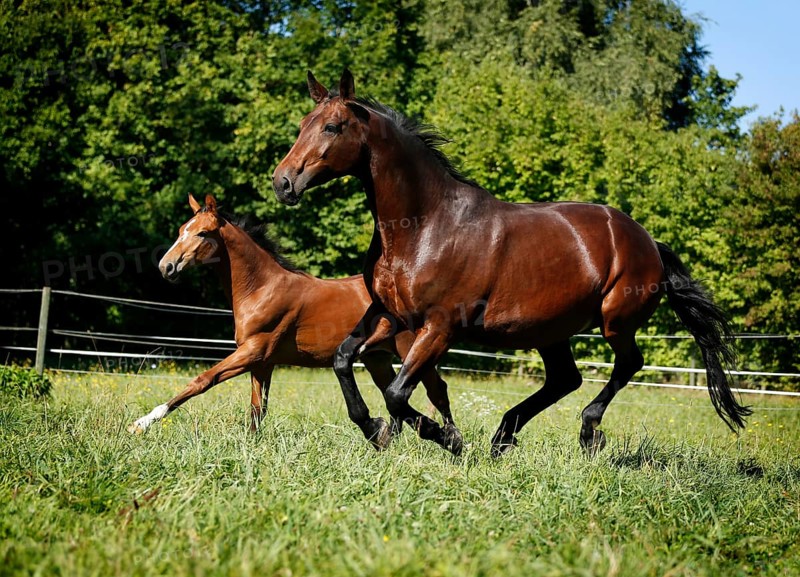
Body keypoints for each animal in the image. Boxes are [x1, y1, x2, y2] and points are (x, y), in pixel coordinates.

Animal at [129, 193, 462, 455]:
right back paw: (390, 436)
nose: (166, 266)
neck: (262, 288)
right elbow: (257, 409)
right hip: (377, 359)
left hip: (412, 351)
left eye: (201, 233)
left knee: (436, 391)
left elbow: (201, 381)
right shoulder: (262, 363)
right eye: (181, 230)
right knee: (397, 397)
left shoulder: (253, 351)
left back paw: (452, 442)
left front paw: (141, 423)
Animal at [271, 69, 751, 456]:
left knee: (627, 364)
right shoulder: (391, 315)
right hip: (551, 330)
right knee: (565, 379)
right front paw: (376, 430)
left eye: (332, 126)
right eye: (302, 125)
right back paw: (504, 436)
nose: (283, 182)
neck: (424, 225)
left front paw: (449, 439)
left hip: (615, 321)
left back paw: (588, 432)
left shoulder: (439, 327)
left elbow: (396, 393)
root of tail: (647, 240)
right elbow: (343, 360)